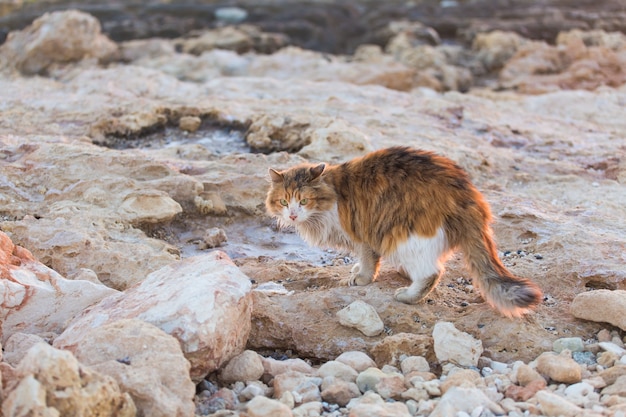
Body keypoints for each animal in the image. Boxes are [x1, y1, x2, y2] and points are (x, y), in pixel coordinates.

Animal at [264, 145, 540, 316]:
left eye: (304, 201)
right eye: (284, 202)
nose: (292, 214)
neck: (334, 195)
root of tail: (468, 193)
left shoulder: (363, 233)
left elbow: (368, 262)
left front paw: (360, 278)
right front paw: (355, 269)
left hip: (408, 235)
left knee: (432, 272)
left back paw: (407, 295)